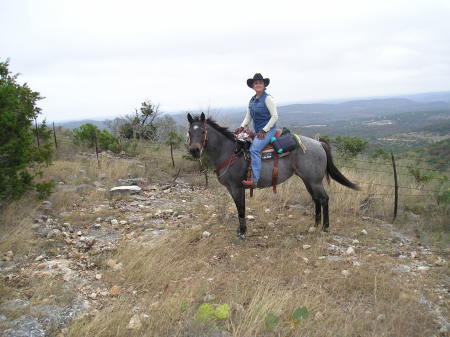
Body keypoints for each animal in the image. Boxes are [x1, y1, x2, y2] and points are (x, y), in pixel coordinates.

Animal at [186, 111, 358, 238]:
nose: (194, 150)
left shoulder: (236, 187)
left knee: (324, 199)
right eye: (189, 132)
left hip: (314, 181)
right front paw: (241, 230)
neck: (230, 152)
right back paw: (315, 225)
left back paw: (325, 228)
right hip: (308, 180)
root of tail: (319, 144)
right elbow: (240, 208)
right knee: (316, 199)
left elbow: (240, 208)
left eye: (203, 131)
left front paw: (242, 232)